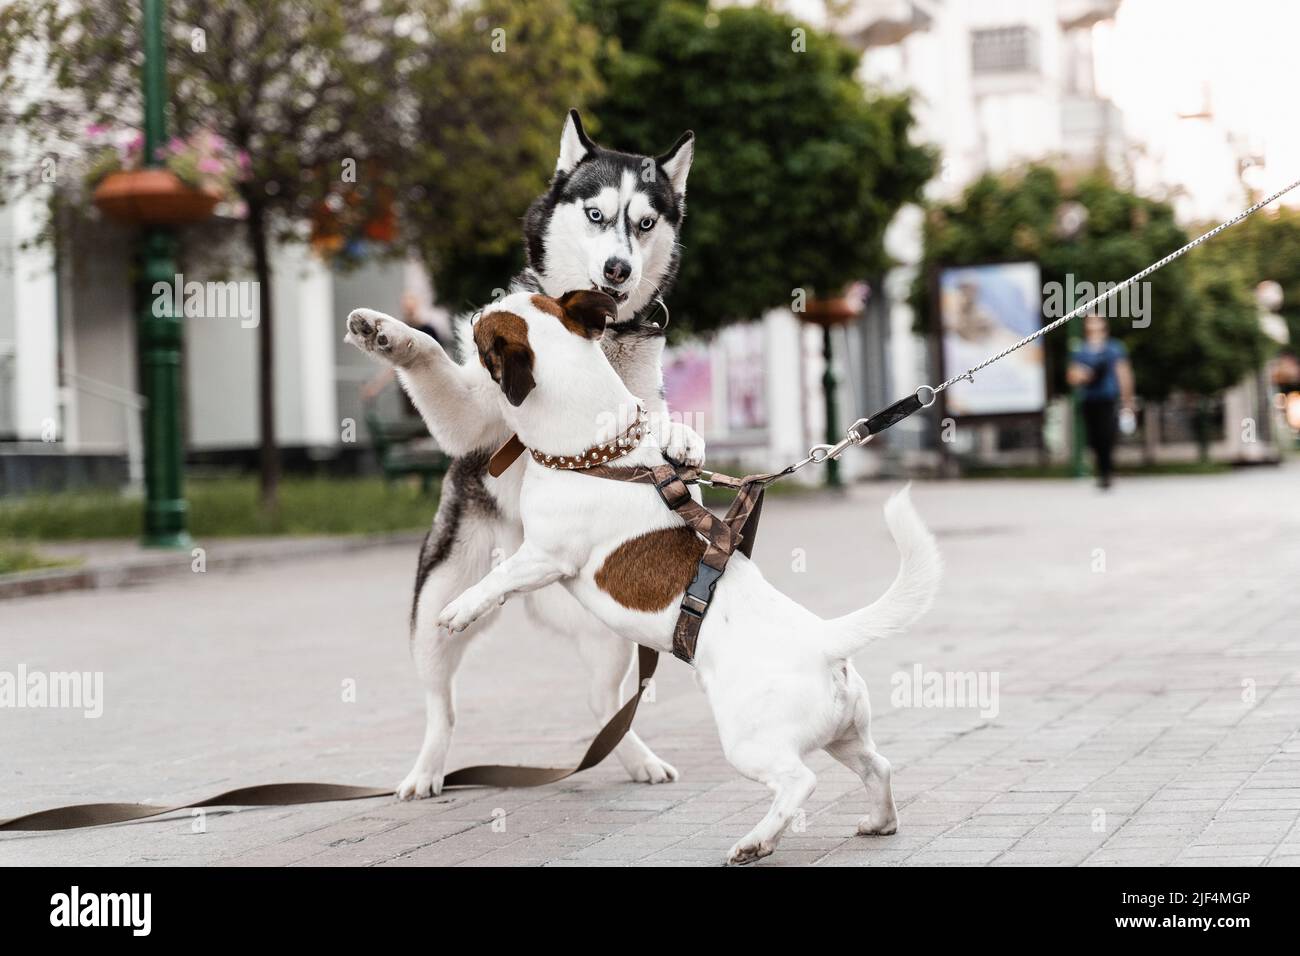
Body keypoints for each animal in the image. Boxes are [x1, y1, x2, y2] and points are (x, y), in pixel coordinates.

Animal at [436, 287, 946, 863]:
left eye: (486, 332)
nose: (474, 309)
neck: (597, 453)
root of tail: (823, 640)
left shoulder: (544, 555)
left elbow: (497, 580)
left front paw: (459, 609)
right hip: (844, 735)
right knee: (877, 767)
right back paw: (879, 822)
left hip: (750, 741)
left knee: (799, 782)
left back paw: (755, 842)